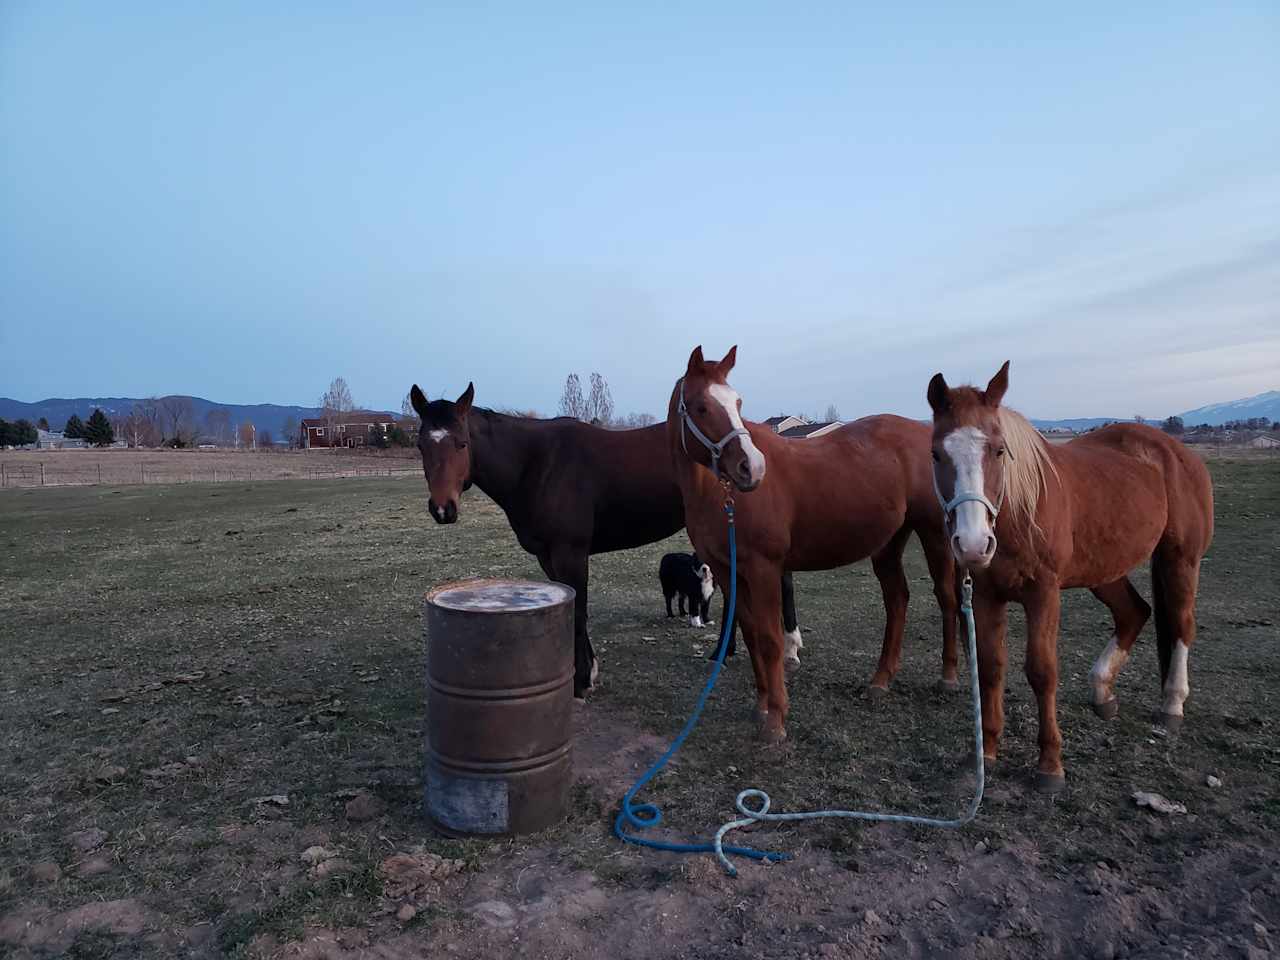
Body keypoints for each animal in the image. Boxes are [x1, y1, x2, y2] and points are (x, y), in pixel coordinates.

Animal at [407, 386, 798, 701]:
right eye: (421, 444)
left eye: (462, 443)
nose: (443, 509)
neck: (537, 463)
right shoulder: (549, 556)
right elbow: (570, 606)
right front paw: (588, 671)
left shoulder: (571, 552)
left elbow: (578, 609)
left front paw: (581, 682)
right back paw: (732, 652)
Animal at [670, 348, 962, 742]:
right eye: (701, 407)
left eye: (737, 402)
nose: (752, 468)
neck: (717, 495)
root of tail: (922, 432)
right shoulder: (729, 571)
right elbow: (750, 633)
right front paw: (761, 706)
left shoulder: (764, 569)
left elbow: (770, 639)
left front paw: (776, 720)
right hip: (889, 542)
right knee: (897, 600)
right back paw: (880, 681)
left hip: (933, 532)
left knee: (946, 597)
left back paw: (948, 677)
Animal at [926, 363, 1213, 793]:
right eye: (936, 453)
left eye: (998, 450)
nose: (974, 544)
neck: (1018, 513)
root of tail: (1176, 452)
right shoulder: (986, 596)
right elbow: (991, 668)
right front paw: (986, 753)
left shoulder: (1044, 594)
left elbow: (1042, 671)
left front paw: (1050, 765)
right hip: (1104, 569)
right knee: (1134, 613)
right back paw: (1103, 692)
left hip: (1179, 560)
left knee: (1181, 624)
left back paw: (1172, 704)